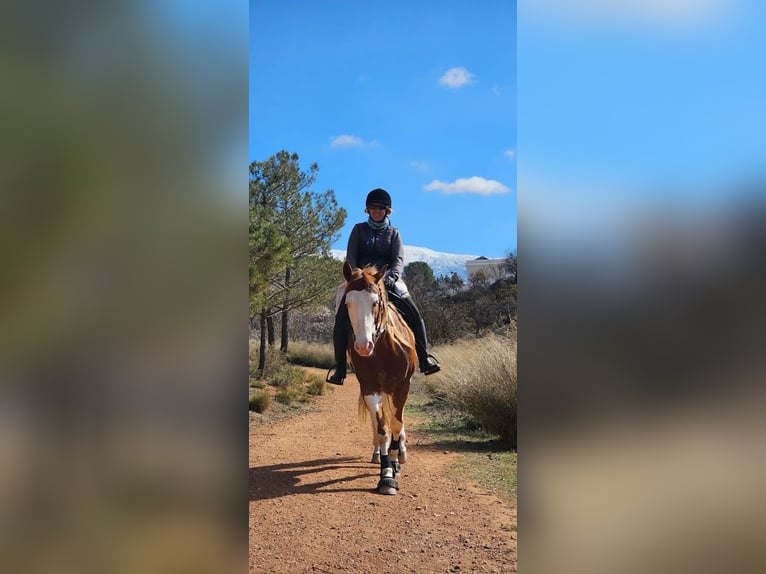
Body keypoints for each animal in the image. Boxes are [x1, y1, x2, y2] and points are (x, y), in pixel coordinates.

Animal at [338, 260, 417, 495]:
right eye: (348, 303)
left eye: (375, 302)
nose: (364, 346)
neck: (383, 350)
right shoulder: (370, 388)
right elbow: (382, 430)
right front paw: (387, 474)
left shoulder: (402, 387)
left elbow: (396, 425)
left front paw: (395, 461)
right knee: (379, 422)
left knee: (397, 421)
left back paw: (400, 454)